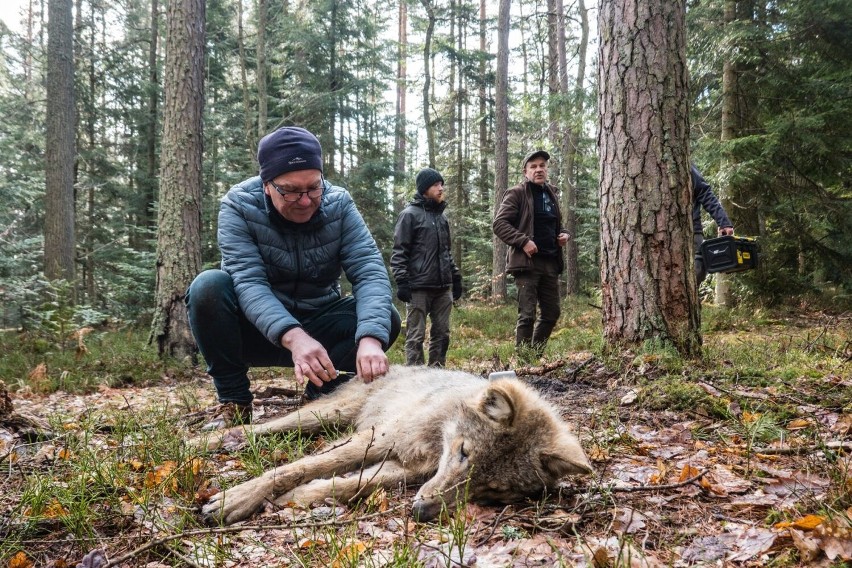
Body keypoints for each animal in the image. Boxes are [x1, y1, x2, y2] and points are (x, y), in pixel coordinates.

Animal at [193, 366, 592, 524]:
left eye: (492, 490)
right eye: (464, 453)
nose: (422, 513)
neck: (438, 434)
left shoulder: (406, 468)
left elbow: (354, 483)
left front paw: (301, 497)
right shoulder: (374, 440)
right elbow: (296, 467)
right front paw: (237, 499)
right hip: (324, 416)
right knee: (260, 427)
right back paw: (208, 439)